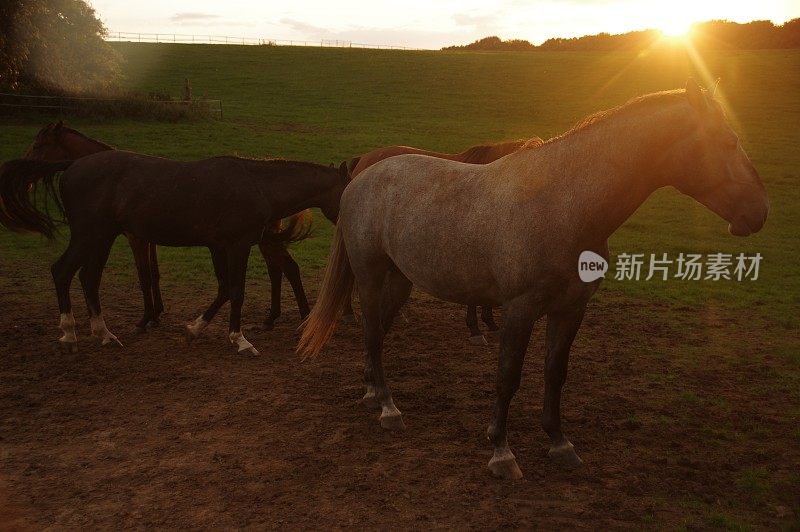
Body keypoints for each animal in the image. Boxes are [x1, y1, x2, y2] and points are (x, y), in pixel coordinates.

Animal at [0, 152, 350, 356]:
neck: (257, 185)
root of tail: (74, 164)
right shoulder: (235, 245)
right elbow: (236, 291)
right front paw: (239, 339)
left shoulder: (219, 246)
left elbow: (225, 289)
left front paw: (195, 329)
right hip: (90, 235)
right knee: (62, 271)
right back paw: (70, 334)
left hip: (102, 237)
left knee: (88, 278)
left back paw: (103, 333)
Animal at [22, 124, 328, 332]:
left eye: (37, 145)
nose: (28, 177)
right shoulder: (147, 238)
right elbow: (153, 275)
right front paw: (156, 313)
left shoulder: (137, 238)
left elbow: (145, 276)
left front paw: (147, 318)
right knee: (281, 270)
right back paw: (275, 317)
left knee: (287, 269)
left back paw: (298, 316)